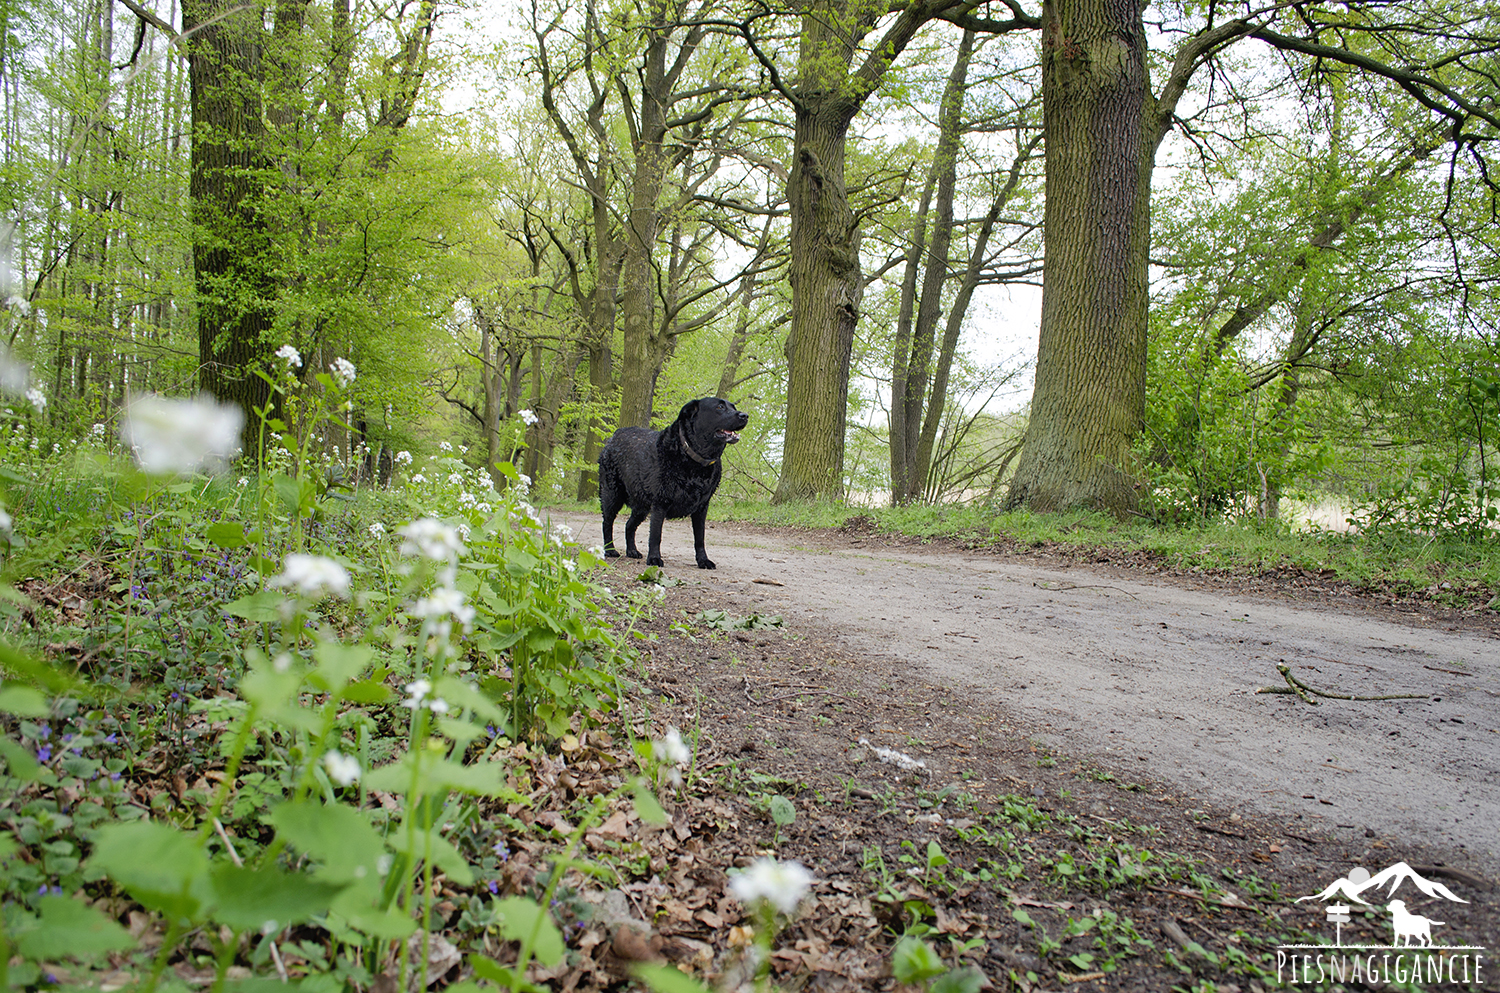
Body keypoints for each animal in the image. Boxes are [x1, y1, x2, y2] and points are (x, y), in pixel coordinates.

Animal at [597, 396, 750, 567]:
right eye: (720, 407)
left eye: (733, 407)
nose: (745, 415)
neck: (693, 459)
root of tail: (615, 435)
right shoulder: (660, 503)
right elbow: (655, 535)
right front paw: (654, 558)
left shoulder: (702, 507)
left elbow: (700, 538)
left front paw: (703, 560)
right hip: (611, 496)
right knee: (607, 524)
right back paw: (610, 550)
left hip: (641, 506)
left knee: (629, 525)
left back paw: (632, 551)